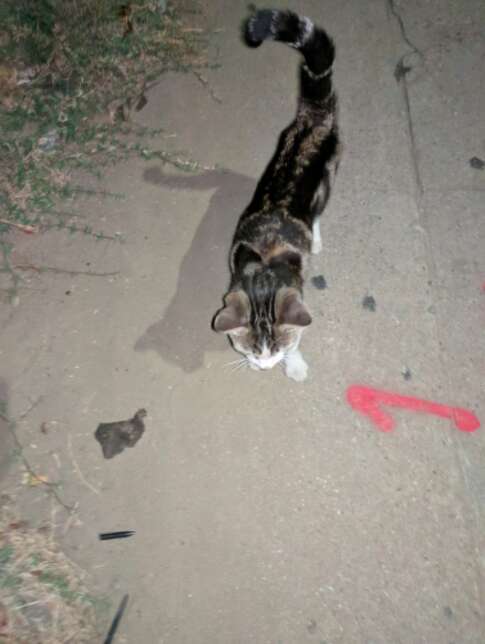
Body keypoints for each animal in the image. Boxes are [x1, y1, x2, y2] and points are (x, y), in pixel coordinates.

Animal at [212, 7, 340, 380]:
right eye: (250, 350)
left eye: (277, 349)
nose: (264, 365)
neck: (265, 276)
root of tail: (313, 116)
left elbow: (299, 330)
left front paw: (294, 363)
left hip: (328, 178)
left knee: (317, 212)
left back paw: (315, 237)